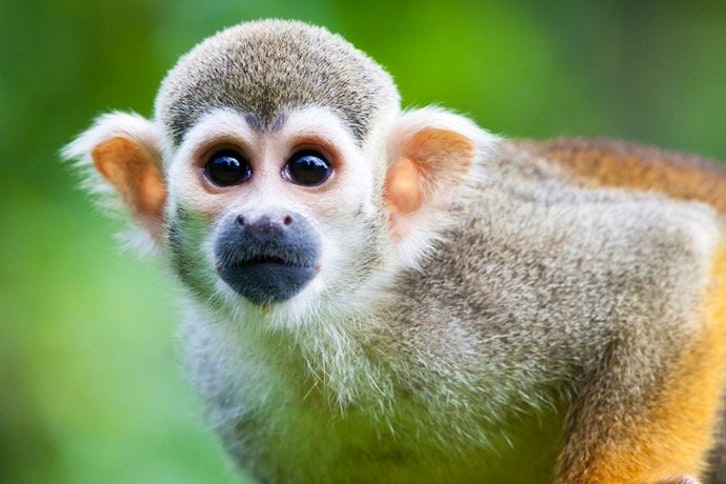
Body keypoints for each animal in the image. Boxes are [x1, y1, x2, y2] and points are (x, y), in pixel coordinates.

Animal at [63, 19, 726, 483]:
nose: (263, 222)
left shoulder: (486, 267)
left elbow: (669, 253)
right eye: (227, 169)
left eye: (308, 168)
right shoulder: (228, 383)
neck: (338, 319)